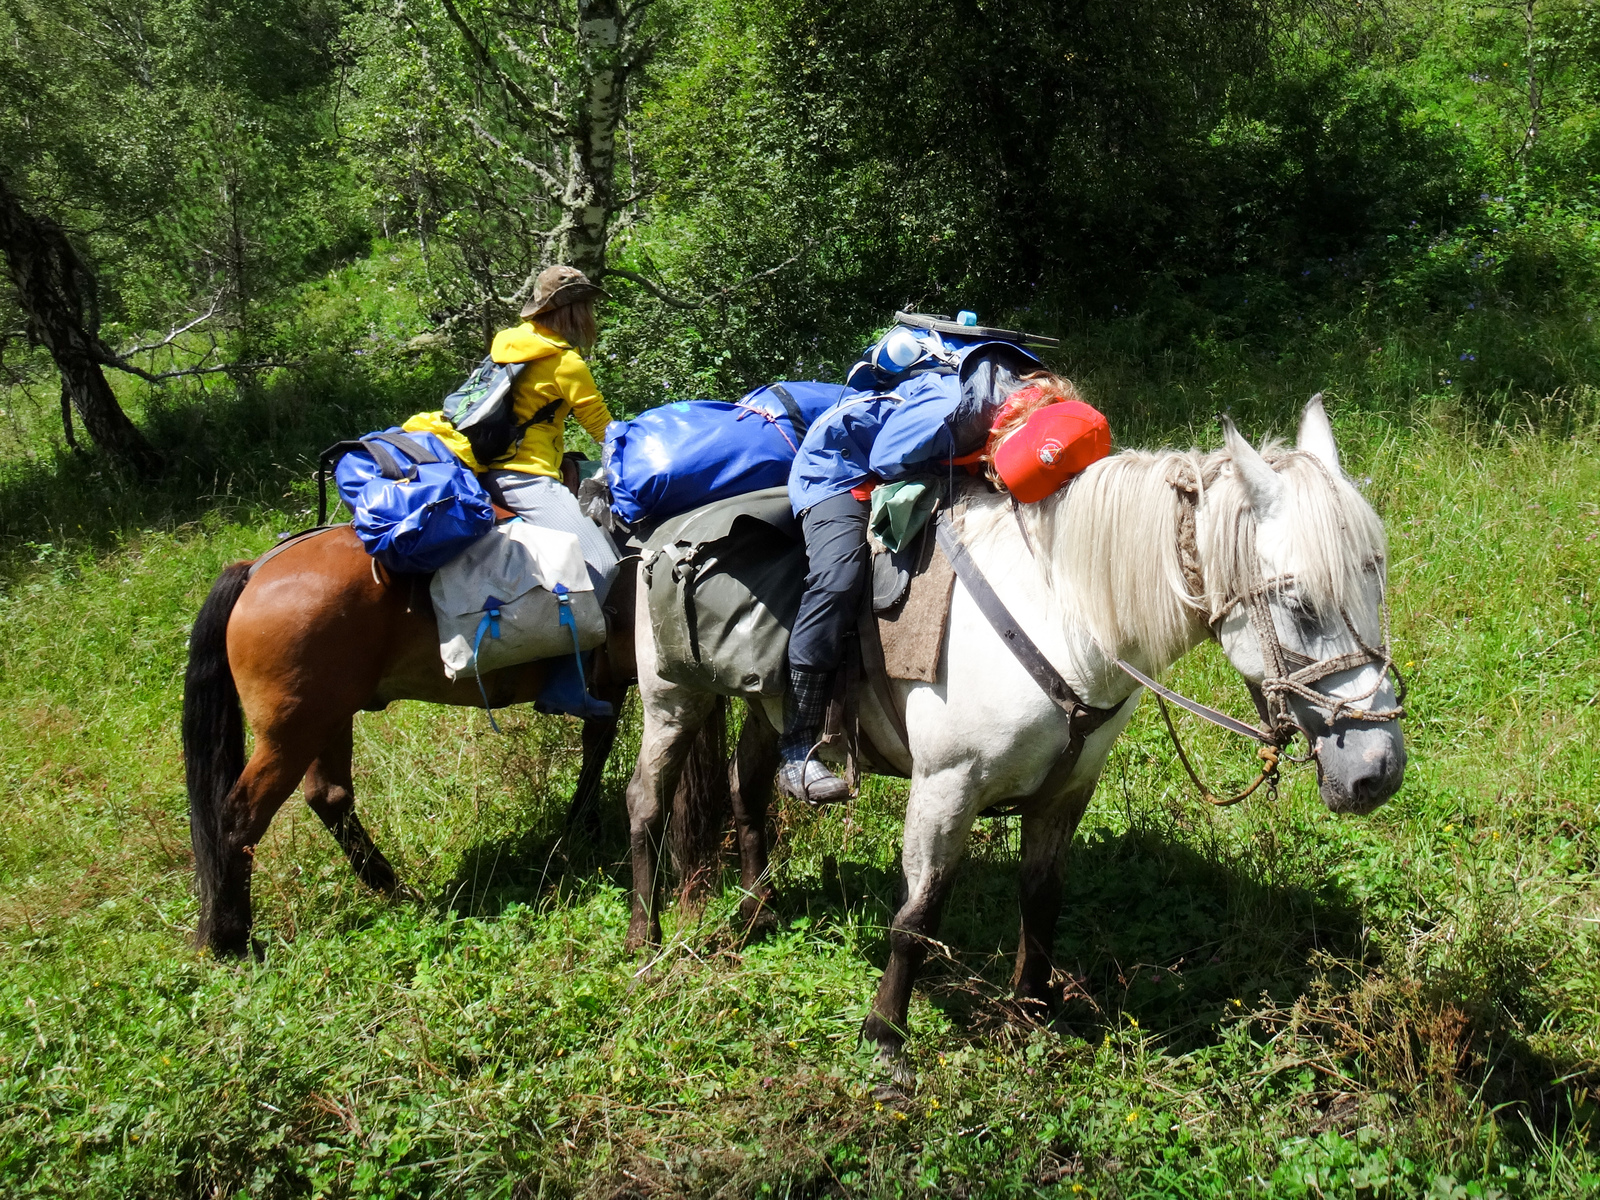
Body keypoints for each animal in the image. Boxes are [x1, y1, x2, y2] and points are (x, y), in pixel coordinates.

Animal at [184, 531, 633, 966]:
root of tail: (256, 569)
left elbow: (596, 747)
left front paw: (584, 827)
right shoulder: (614, 681)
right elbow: (597, 750)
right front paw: (586, 828)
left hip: (325, 721)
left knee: (329, 796)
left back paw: (391, 887)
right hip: (292, 735)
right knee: (241, 817)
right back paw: (233, 940)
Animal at [617, 400, 1408, 1075]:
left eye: (1377, 579)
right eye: (1301, 604)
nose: (1378, 771)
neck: (1063, 614)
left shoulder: (1066, 790)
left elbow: (1042, 898)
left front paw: (1030, 1011)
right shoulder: (947, 786)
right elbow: (917, 916)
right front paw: (885, 1041)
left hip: (766, 707)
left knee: (749, 791)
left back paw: (754, 911)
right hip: (672, 699)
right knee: (646, 801)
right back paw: (643, 939)